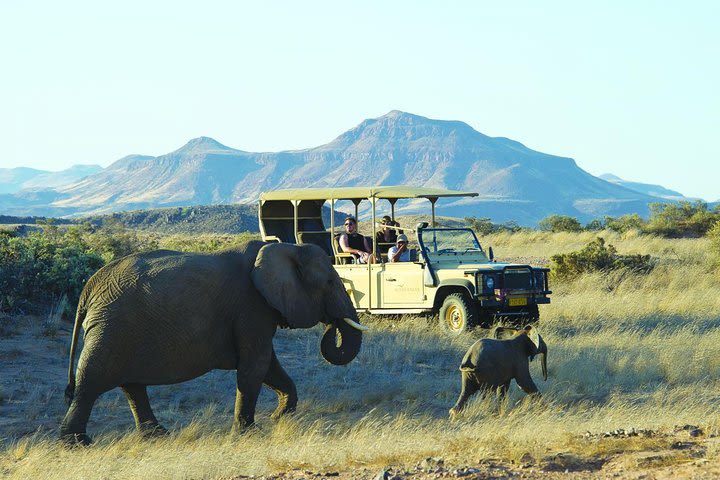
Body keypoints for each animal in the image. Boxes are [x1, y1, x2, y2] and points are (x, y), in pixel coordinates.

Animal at [59, 240, 368, 446]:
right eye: (330, 282)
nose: (332, 324)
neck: (287, 248)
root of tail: (89, 287)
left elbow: (268, 366)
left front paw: (279, 418)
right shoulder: (251, 306)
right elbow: (256, 365)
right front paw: (249, 435)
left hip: (118, 329)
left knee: (131, 386)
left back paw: (158, 436)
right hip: (112, 327)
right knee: (91, 382)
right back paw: (77, 444)